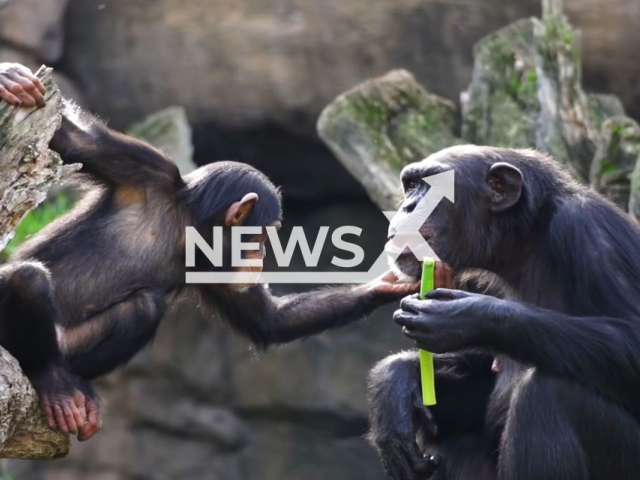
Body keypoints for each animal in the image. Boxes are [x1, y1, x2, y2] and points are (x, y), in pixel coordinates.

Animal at [0, 63, 418, 442]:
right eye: (262, 235)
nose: (261, 256)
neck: (189, 225)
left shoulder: (215, 266)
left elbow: (270, 321)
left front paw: (389, 284)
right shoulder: (146, 167)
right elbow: (75, 141)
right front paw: (12, 79)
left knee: (145, 306)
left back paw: (76, 388)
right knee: (27, 279)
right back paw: (53, 382)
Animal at [368, 145, 640, 480]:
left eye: (432, 185)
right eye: (411, 185)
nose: (408, 206)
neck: (525, 240)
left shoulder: (591, 234)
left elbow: (631, 337)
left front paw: (465, 316)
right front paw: (394, 382)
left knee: (545, 394)